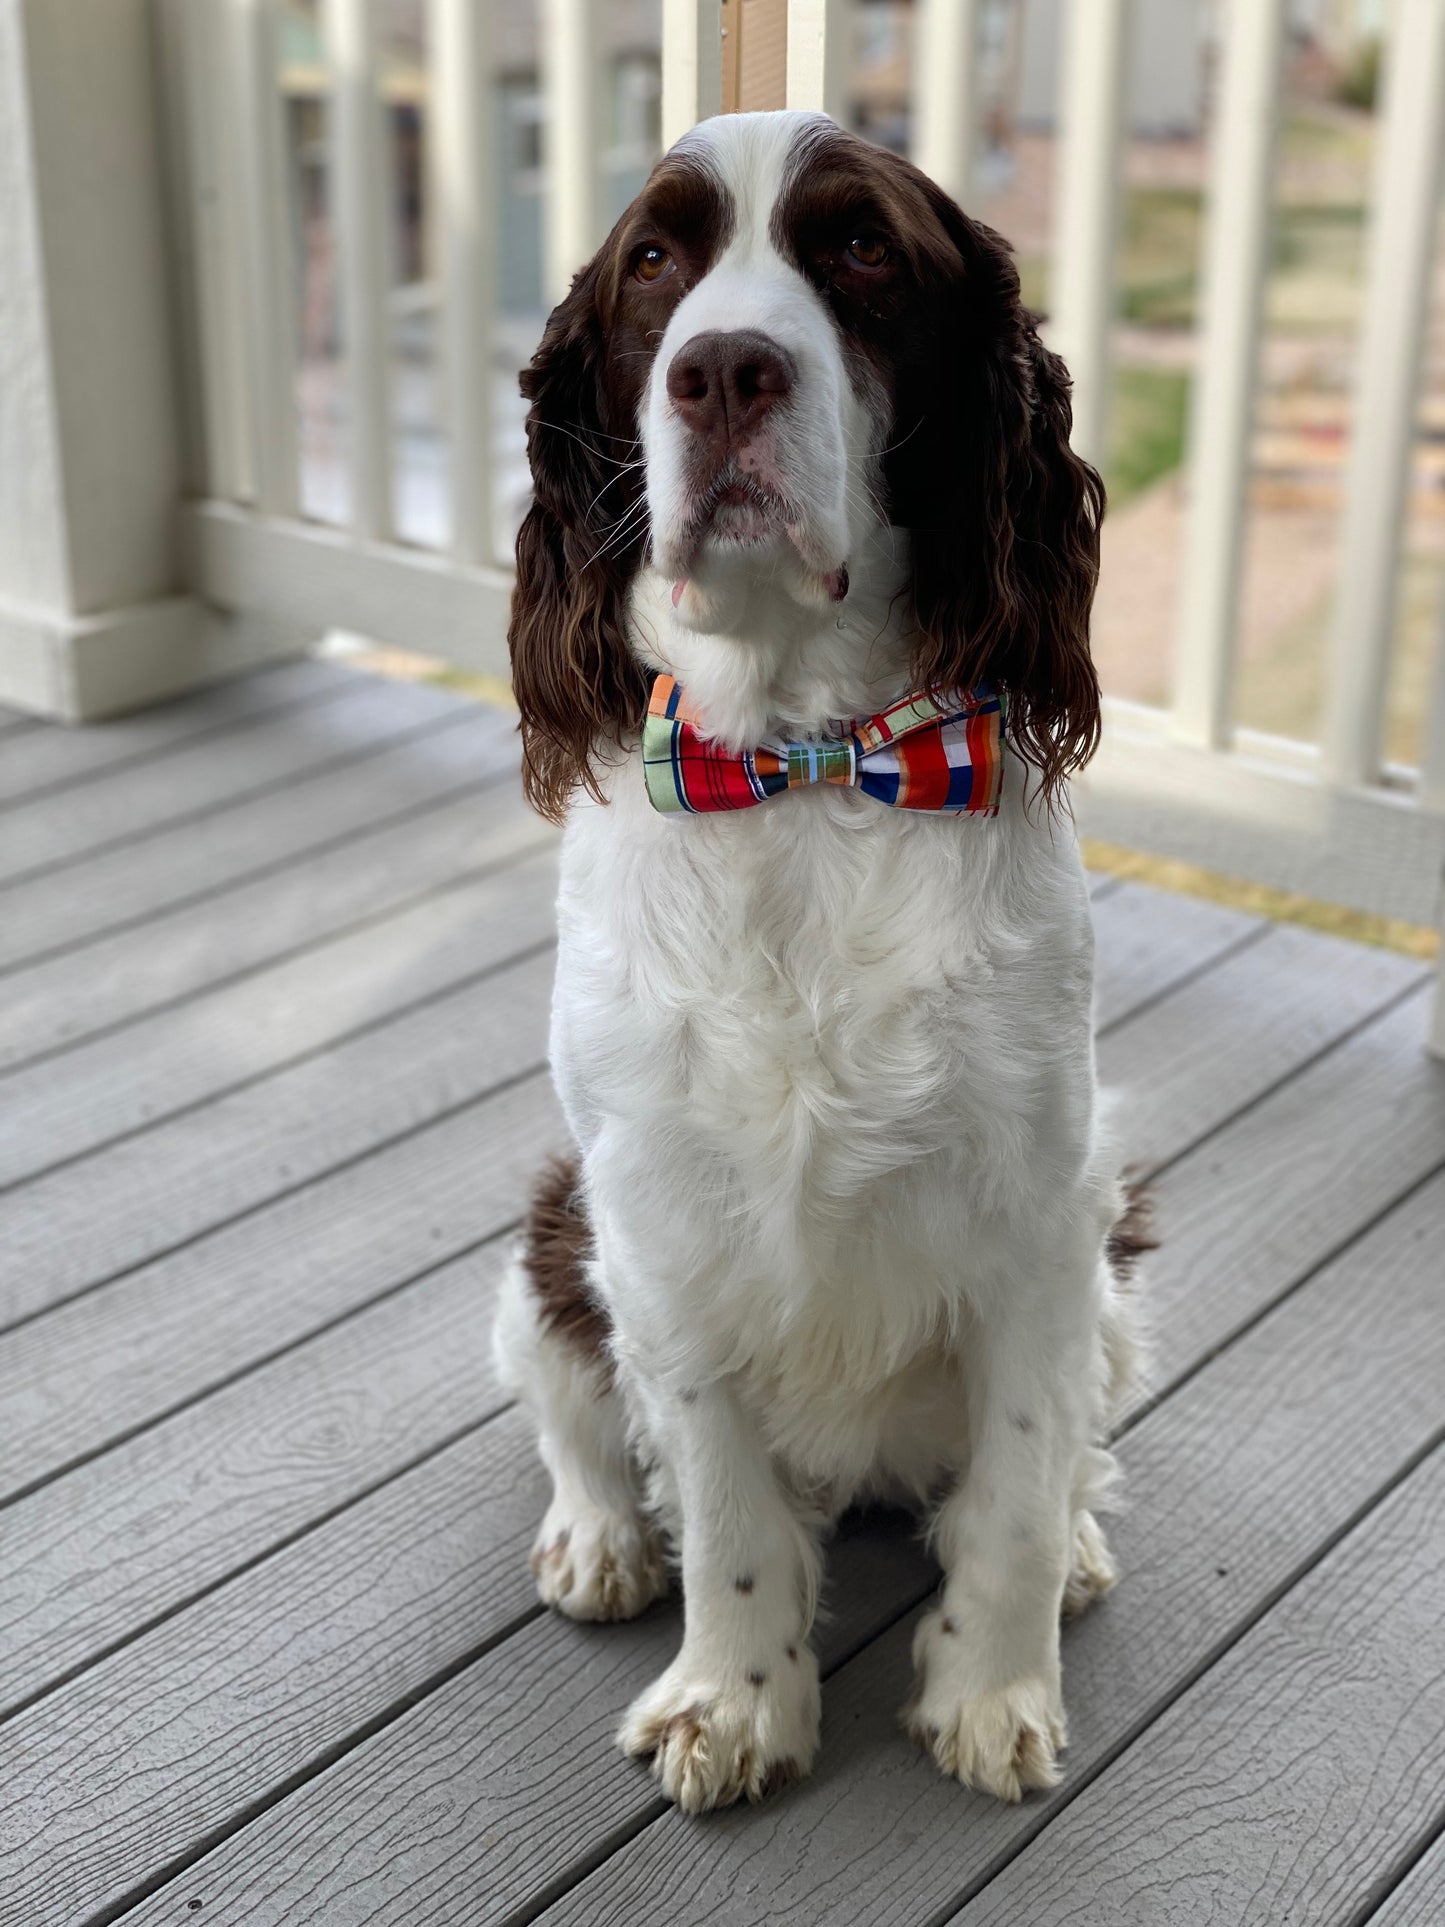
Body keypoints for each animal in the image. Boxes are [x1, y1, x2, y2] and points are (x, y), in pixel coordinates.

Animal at [493, 112, 1148, 1811]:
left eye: (859, 248)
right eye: (654, 260)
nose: (723, 370)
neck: (798, 766)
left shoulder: (1044, 1213)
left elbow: (1013, 1480)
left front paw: (991, 1688)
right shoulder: (653, 1213)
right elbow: (723, 1500)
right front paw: (733, 1698)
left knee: (1058, 1453)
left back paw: (1077, 1544)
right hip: (551, 1223)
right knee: (572, 1408)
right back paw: (596, 1536)